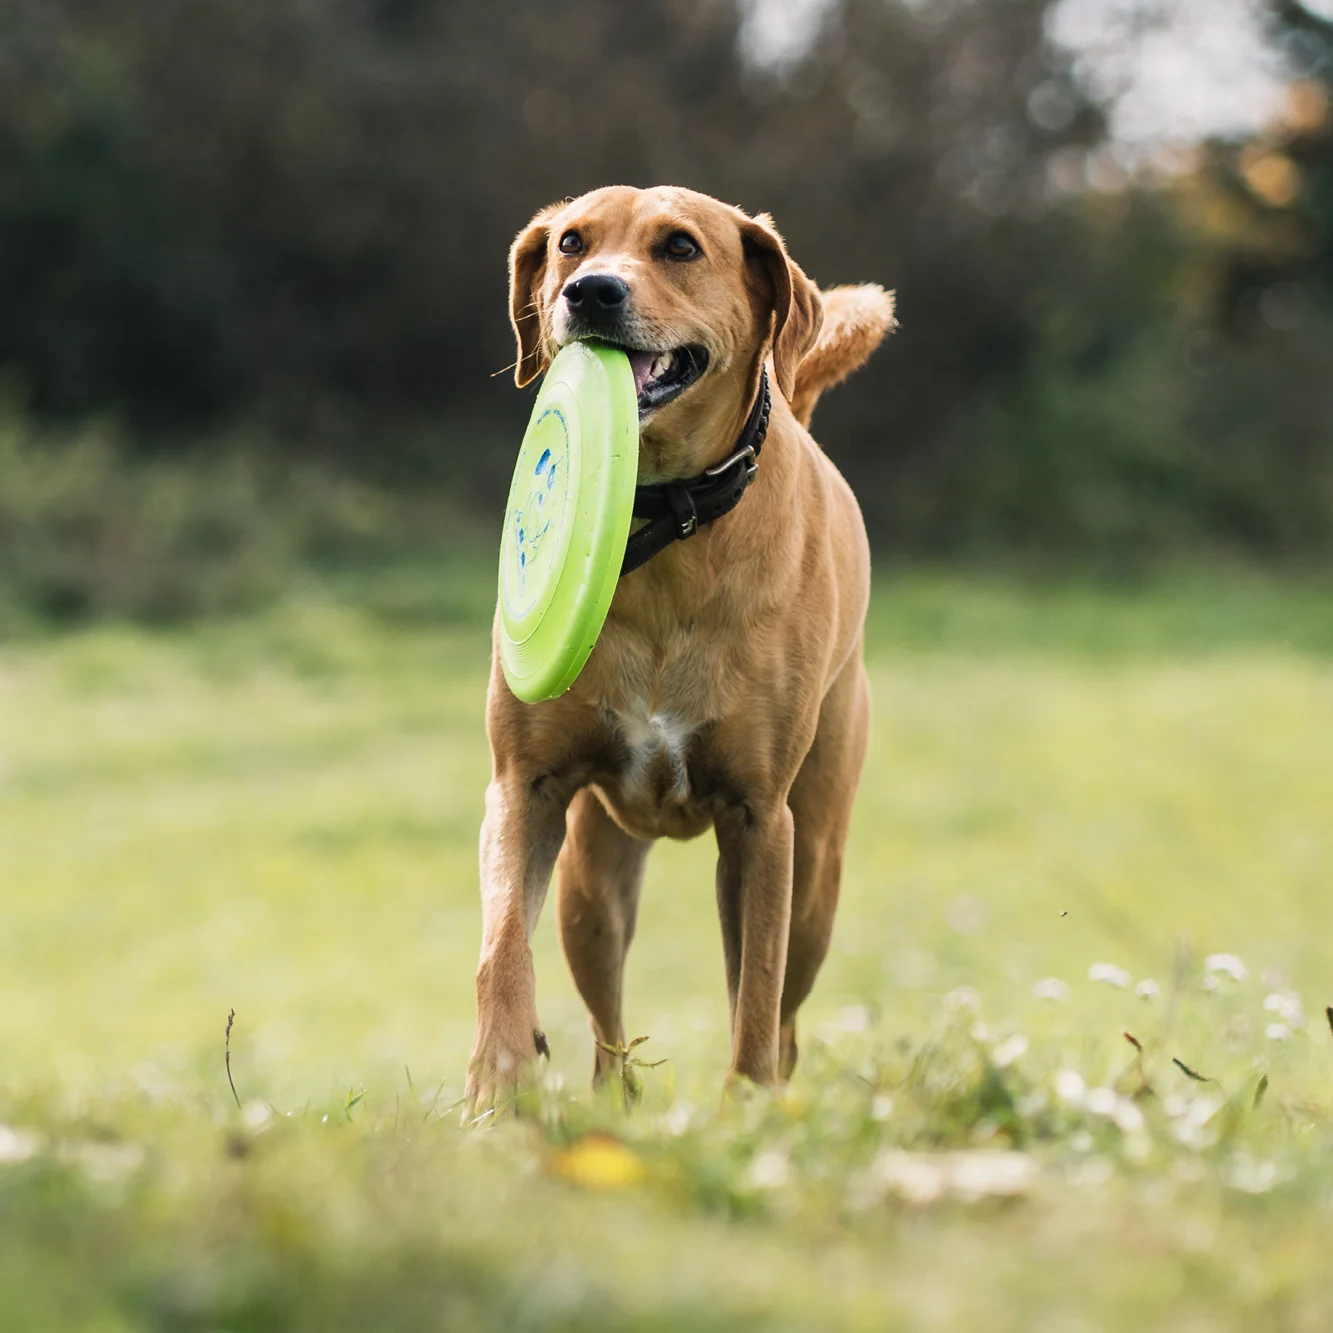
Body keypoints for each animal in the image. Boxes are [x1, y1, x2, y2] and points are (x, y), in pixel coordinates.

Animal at [469, 182, 895, 1109]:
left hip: (817, 867)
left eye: (679, 247)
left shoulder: (760, 819)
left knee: (784, 1006)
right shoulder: (525, 785)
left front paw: (746, 1109)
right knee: (606, 1025)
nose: (590, 292)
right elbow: (501, 944)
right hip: (592, 878)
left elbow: (754, 994)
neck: (661, 517)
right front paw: (498, 1073)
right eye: (569, 241)